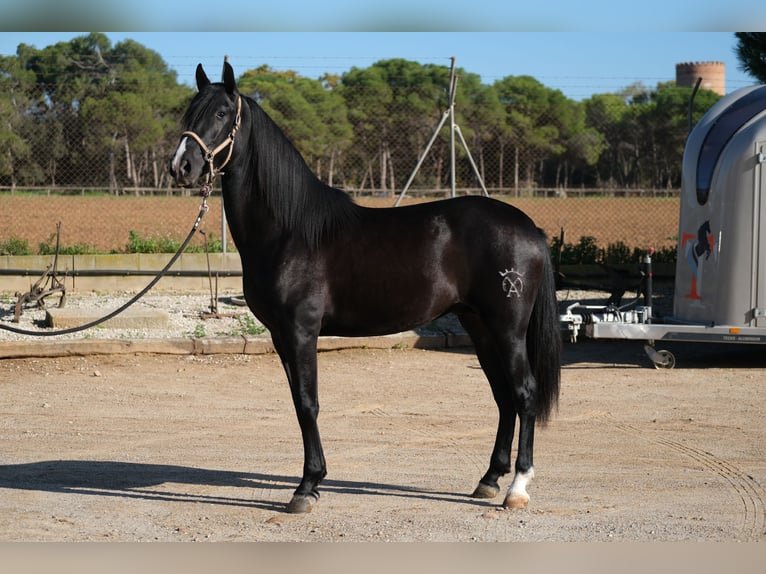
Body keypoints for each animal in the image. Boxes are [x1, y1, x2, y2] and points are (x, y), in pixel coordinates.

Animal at [171, 60, 560, 516]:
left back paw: (517, 488)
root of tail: (530, 228)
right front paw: (311, 482)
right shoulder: (282, 336)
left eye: (220, 114)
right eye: (190, 111)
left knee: (524, 394)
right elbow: (299, 403)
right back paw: (488, 480)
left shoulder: (301, 331)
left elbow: (309, 403)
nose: (181, 166)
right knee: (503, 397)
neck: (289, 231)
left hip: (508, 328)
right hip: (479, 326)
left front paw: (306, 487)